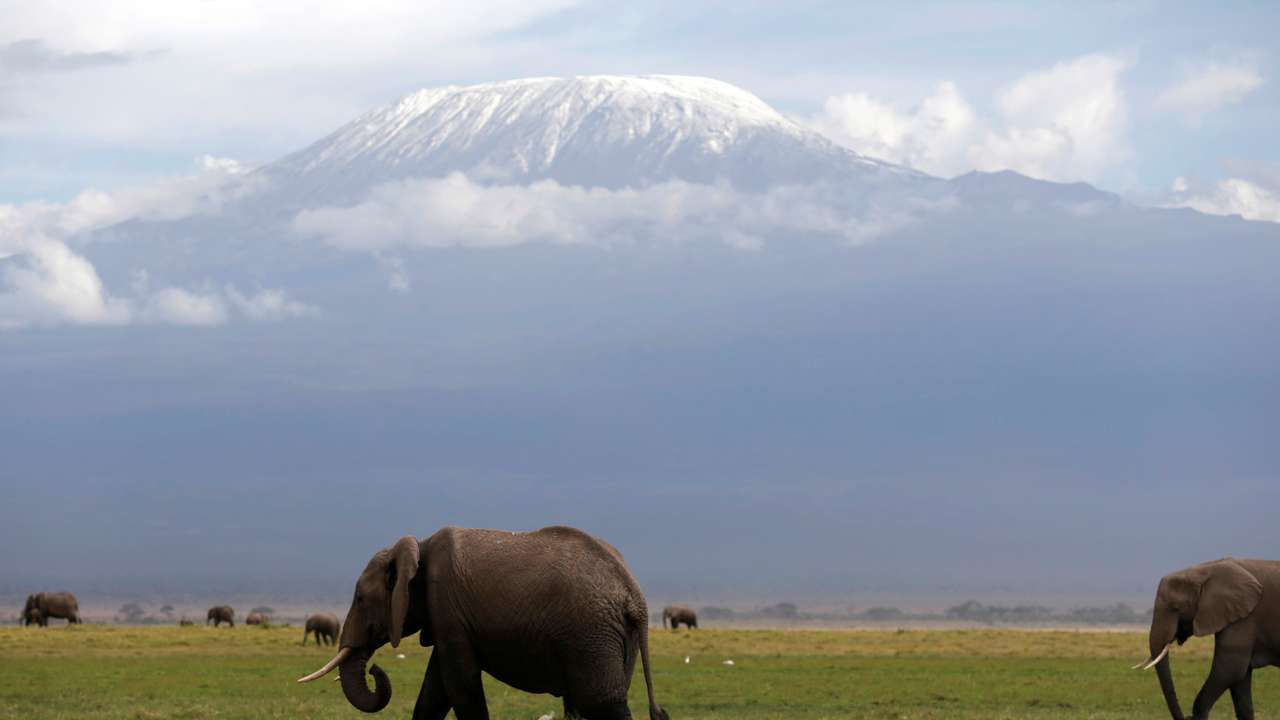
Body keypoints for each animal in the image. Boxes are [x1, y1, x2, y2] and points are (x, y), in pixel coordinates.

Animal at [298, 525, 669, 720]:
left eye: (361, 599)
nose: (376, 669)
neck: (418, 548)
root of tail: (635, 593)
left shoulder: (447, 606)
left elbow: (460, 684)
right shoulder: (445, 619)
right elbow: (434, 690)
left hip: (592, 633)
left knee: (601, 704)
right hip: (612, 637)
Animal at [1135, 557, 1280, 719]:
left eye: (1176, 607)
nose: (1186, 717)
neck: (1205, 570)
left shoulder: (1246, 618)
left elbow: (1230, 669)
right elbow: (1240, 679)